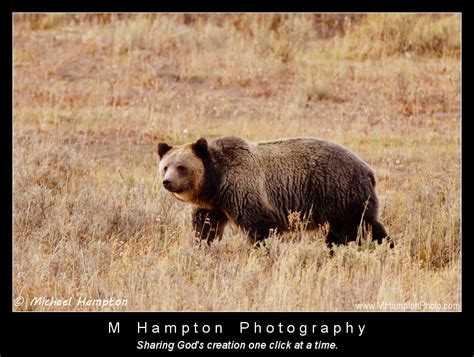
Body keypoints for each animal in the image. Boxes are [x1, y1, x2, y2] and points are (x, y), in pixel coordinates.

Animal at [157, 136, 390, 248]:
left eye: (181, 167)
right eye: (165, 166)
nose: (167, 182)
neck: (217, 182)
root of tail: (368, 170)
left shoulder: (243, 191)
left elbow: (259, 228)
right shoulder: (214, 205)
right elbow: (206, 227)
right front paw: (201, 245)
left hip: (338, 191)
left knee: (358, 227)